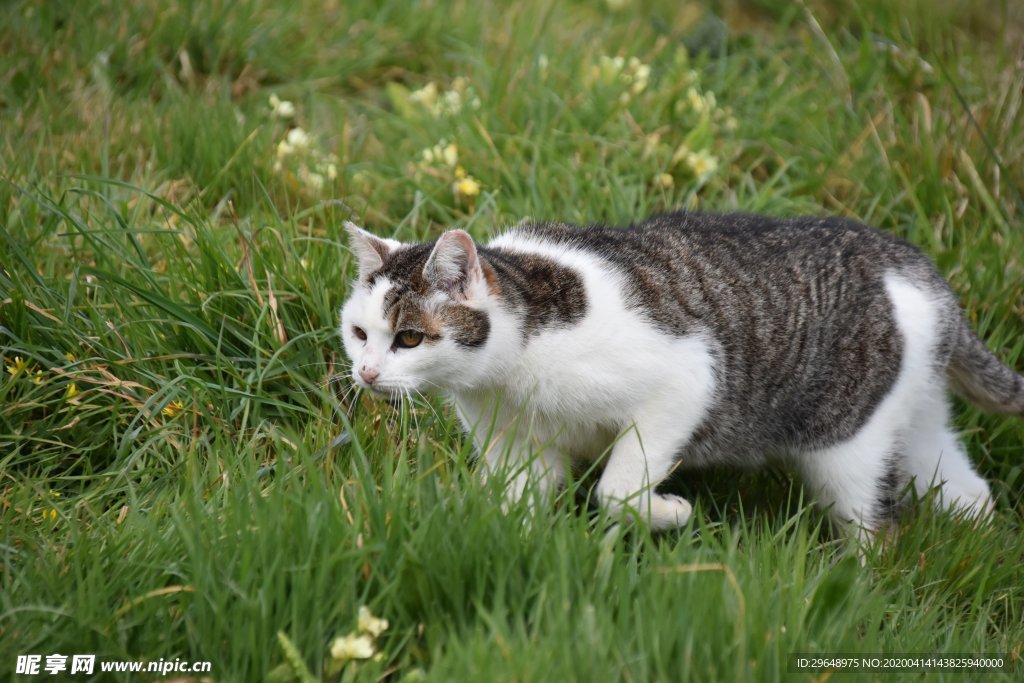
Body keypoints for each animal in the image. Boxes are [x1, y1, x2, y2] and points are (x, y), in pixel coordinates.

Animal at [337, 210, 1024, 536]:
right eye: (360, 334)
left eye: (409, 338)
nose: (366, 374)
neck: (507, 376)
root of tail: (911, 264)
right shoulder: (517, 449)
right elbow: (515, 505)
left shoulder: (686, 380)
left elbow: (616, 491)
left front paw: (672, 512)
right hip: (911, 418)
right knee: (968, 492)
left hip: (845, 443)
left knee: (874, 527)